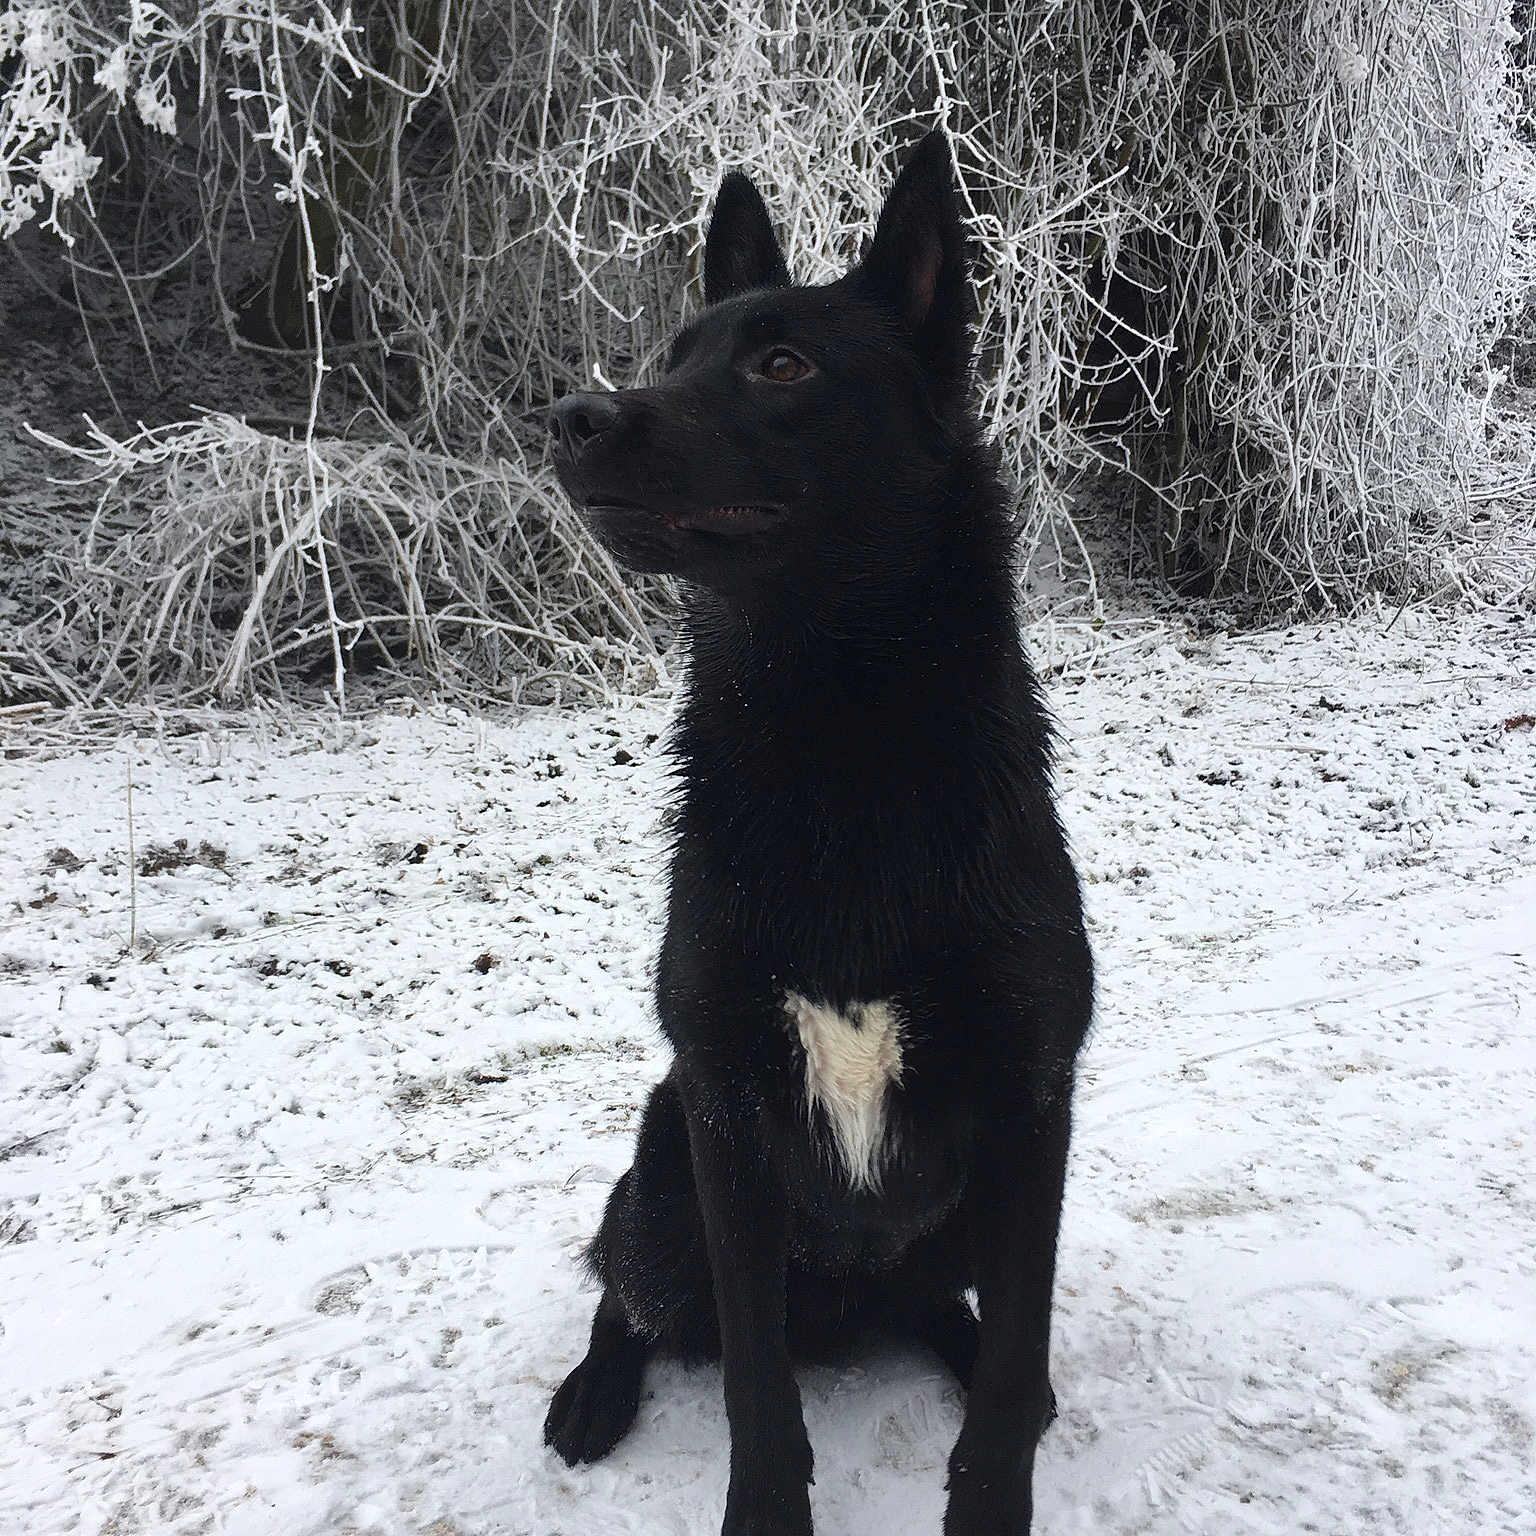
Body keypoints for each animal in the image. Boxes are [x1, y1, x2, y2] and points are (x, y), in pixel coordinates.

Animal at [544, 130, 1094, 1536]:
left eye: (781, 365)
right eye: (674, 352)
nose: (573, 418)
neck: (834, 745)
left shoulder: (1032, 1114)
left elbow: (1010, 1377)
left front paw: (995, 1474)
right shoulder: (730, 1119)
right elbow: (756, 1392)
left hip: (962, 1218)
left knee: (963, 1324)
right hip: (664, 1193)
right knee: (625, 1296)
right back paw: (593, 1392)